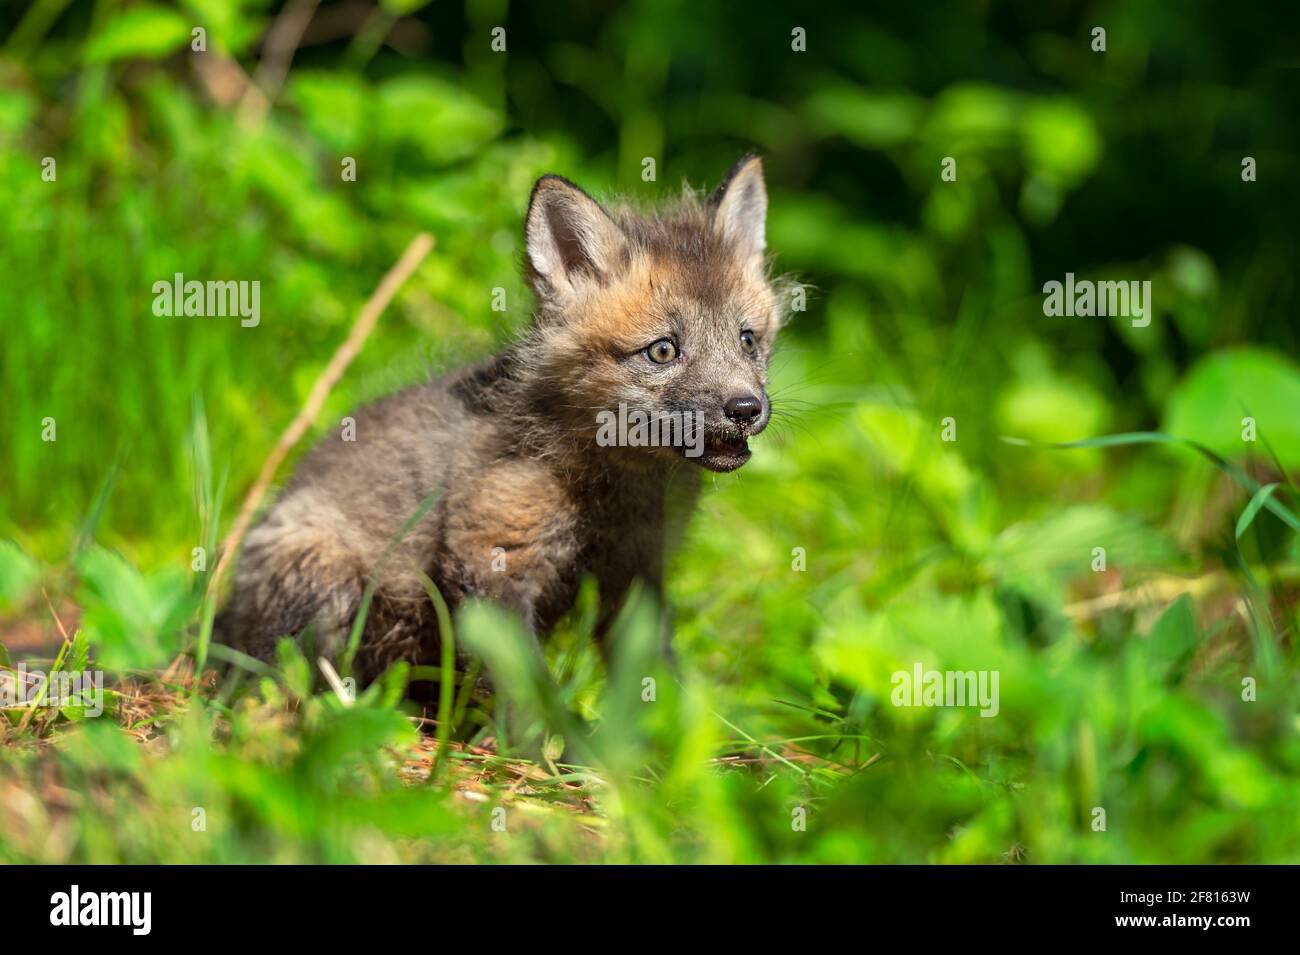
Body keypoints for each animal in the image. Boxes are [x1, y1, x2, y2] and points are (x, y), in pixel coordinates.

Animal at [219, 153, 785, 686]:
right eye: (663, 350)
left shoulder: (639, 572)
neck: (614, 487)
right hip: (325, 585)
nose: (745, 409)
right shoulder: (493, 556)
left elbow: (655, 681)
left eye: (747, 340)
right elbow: (525, 691)